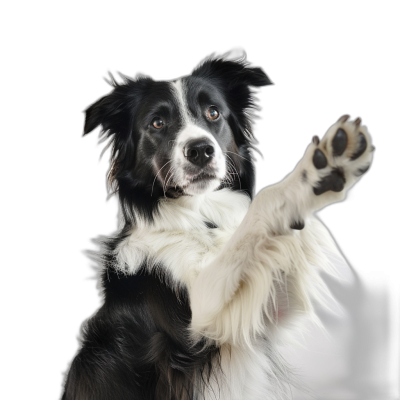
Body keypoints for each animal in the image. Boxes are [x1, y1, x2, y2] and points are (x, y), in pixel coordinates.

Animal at [60, 51, 376, 398]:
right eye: (157, 122)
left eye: (213, 113)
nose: (200, 150)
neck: (202, 219)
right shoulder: (199, 319)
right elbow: (263, 204)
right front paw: (318, 172)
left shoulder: (265, 311)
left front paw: (331, 167)